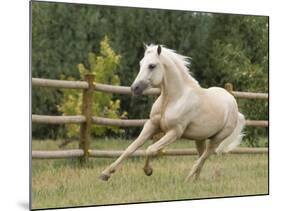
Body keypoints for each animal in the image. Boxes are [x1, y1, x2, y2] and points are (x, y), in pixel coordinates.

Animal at [98, 44, 243, 181]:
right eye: (141, 63)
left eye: (152, 65)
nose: (135, 88)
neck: (173, 99)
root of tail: (232, 101)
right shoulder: (151, 125)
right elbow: (131, 148)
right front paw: (105, 174)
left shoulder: (174, 132)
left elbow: (150, 150)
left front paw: (148, 171)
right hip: (200, 138)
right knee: (201, 158)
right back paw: (195, 181)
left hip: (217, 139)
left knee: (203, 158)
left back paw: (187, 180)